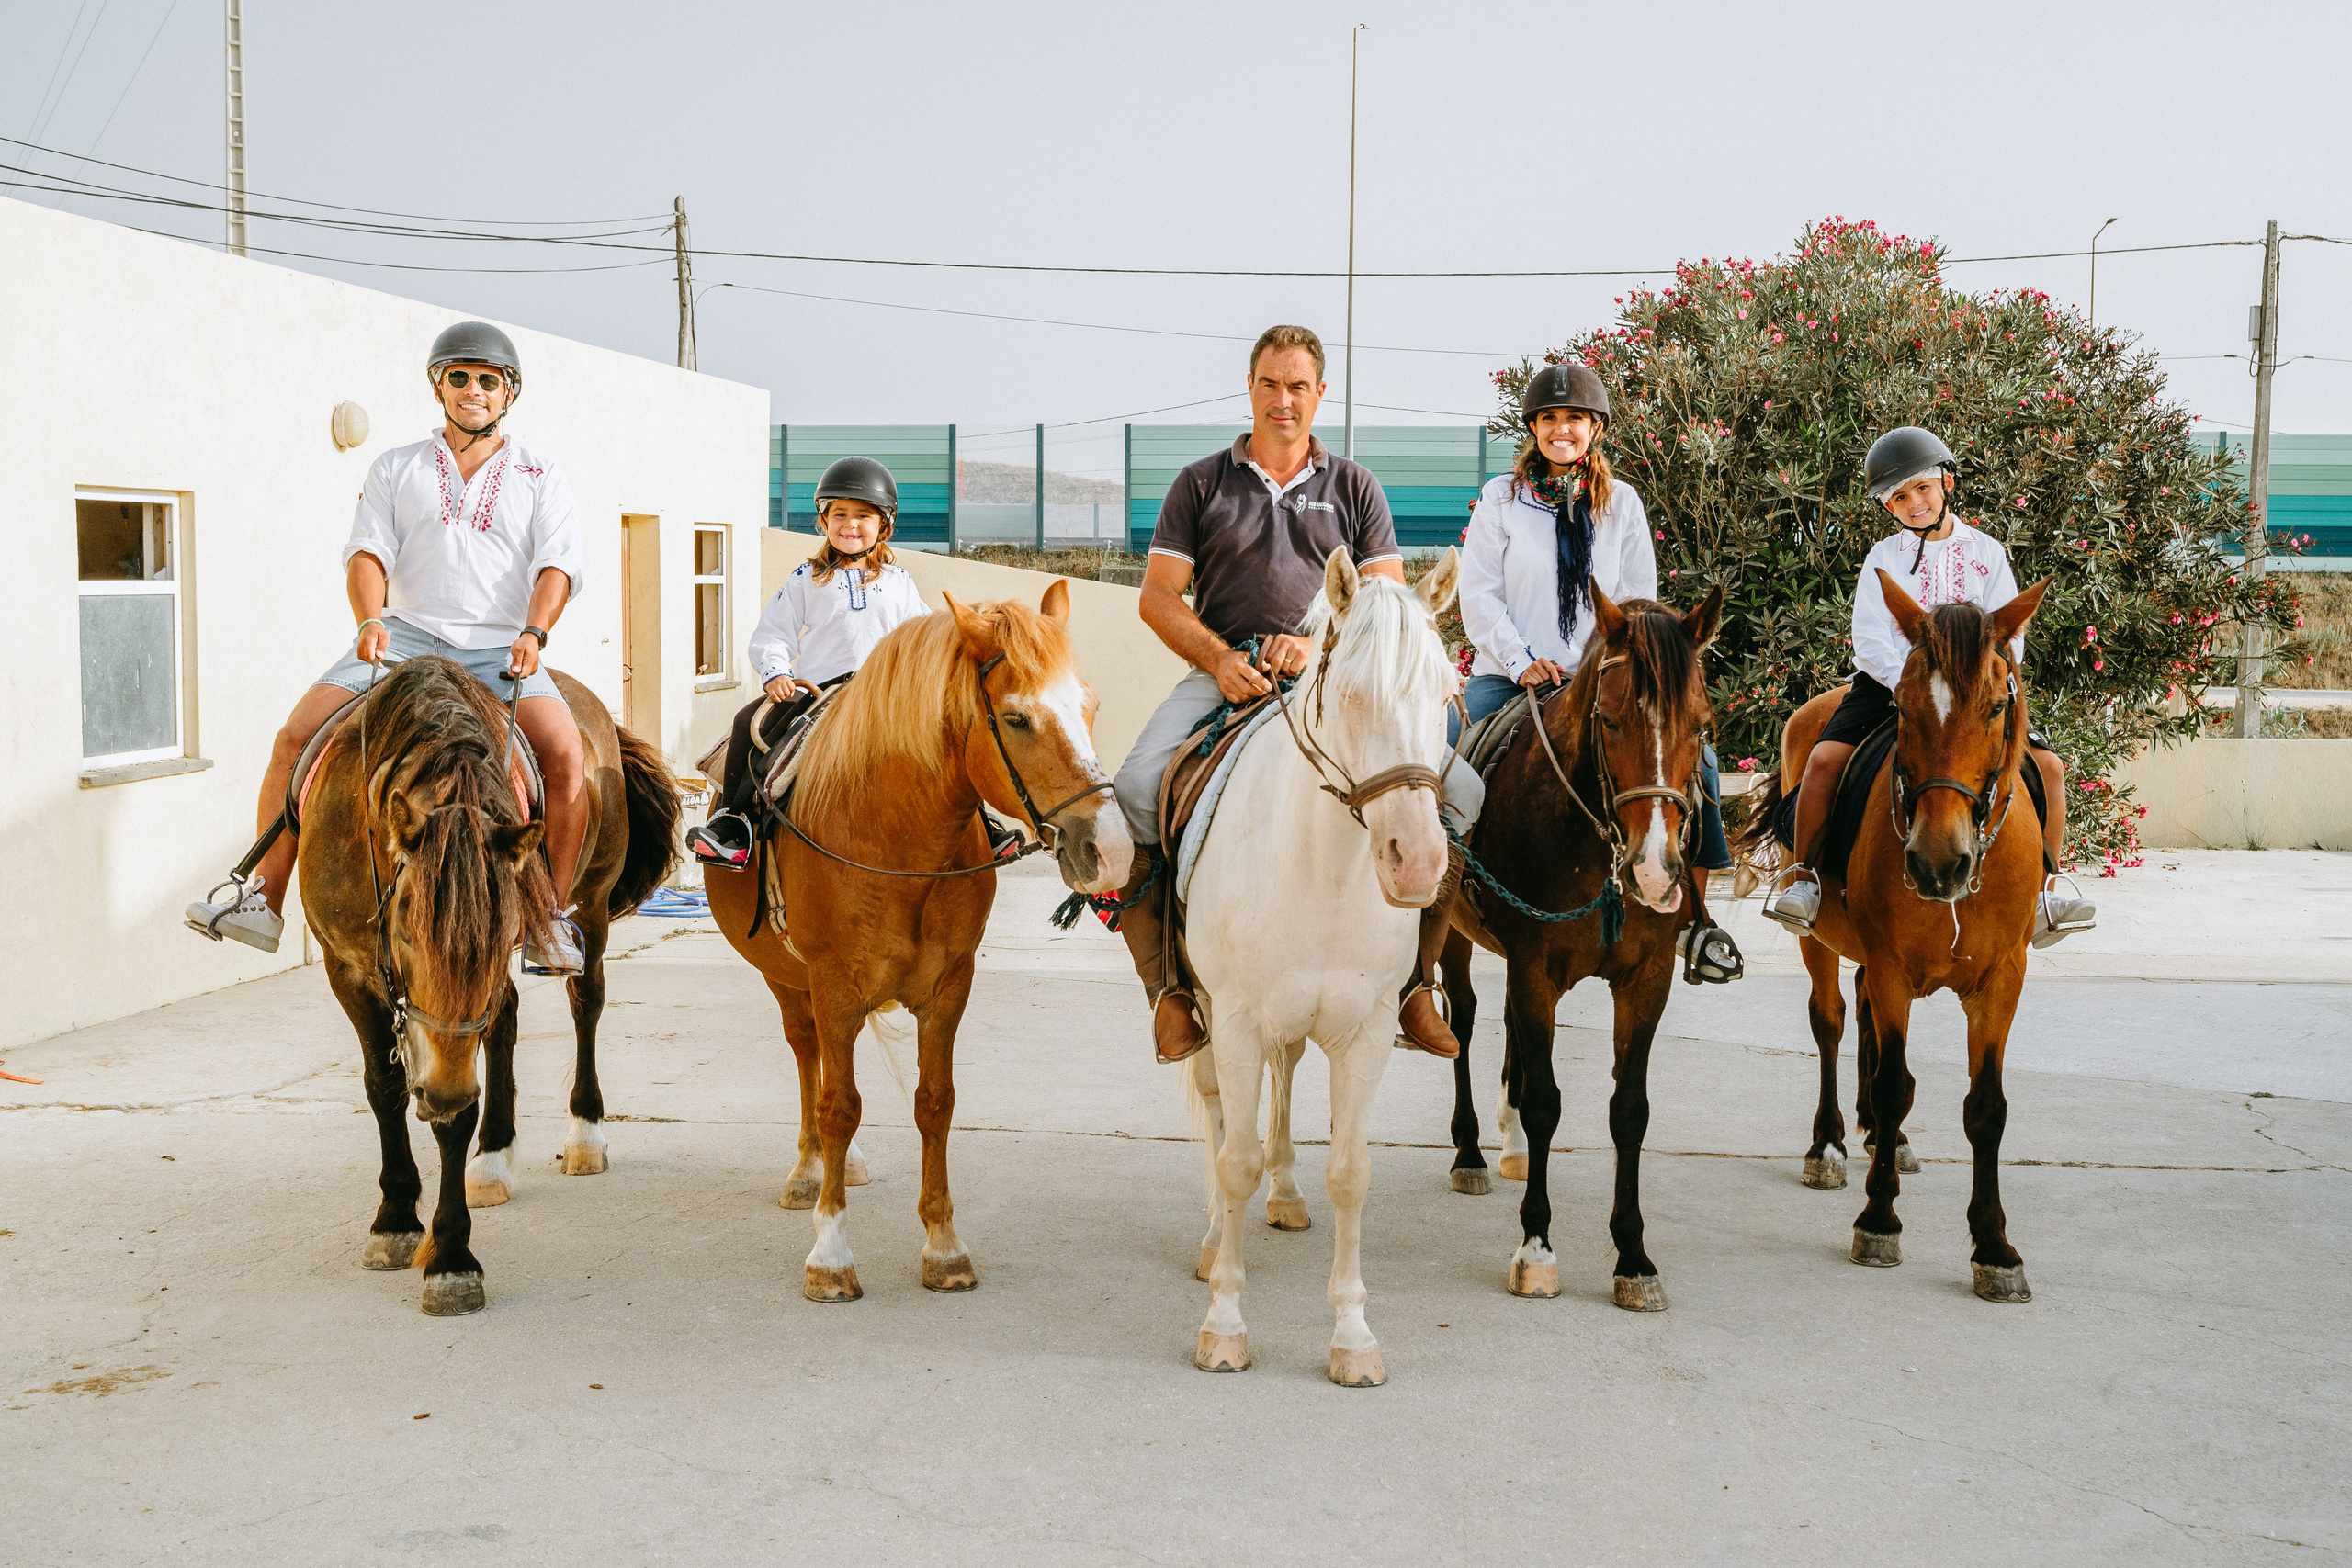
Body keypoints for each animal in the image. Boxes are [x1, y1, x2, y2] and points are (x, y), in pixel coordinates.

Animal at [300, 655, 680, 1316]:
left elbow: (456, 1109)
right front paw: (395, 1217)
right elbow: (385, 1086)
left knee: (586, 1003)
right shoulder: (345, 968)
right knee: (506, 1023)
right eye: (403, 929)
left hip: (592, 908)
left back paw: (584, 1134)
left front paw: (450, 1258)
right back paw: (494, 1156)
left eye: (501, 929)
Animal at [705, 580, 1131, 1303]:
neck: (893, 834)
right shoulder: (833, 984)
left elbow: (935, 1103)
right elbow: (839, 1105)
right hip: (787, 980)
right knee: (807, 1057)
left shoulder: (949, 987)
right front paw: (830, 1253)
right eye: (1016, 719)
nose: (1110, 849)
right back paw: (809, 1170)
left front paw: (943, 1245)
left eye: (1090, 705)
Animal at [1180, 547, 1461, 1387]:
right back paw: (1215, 1239)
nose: (1418, 862)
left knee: (1287, 1074)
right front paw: (1226, 1323)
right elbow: (1234, 1158)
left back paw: (1287, 1194)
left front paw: (1353, 1334)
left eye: (1448, 694)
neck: (1325, 870)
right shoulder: (1237, 1021)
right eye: (1355, 694)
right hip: (1205, 1014)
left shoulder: (1363, 1033)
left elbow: (1350, 1172)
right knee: (1218, 1113)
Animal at [1432, 583, 1724, 1311]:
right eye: (1611, 721)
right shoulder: (1535, 966)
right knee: (1467, 1019)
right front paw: (1536, 1247)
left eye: (1701, 724)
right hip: (1455, 935)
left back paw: (1506, 1146)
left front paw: (1634, 1257)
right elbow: (1546, 1102)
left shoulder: (1647, 978)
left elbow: (1630, 1111)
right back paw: (1471, 1153)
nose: (1655, 870)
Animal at [1735, 571, 2050, 1302]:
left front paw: (1994, 1247)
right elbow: (1891, 1082)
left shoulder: (2004, 978)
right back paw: (1830, 1143)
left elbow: (1985, 1106)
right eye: (1902, 707)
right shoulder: (1890, 965)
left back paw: (1889, 1141)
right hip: (1820, 940)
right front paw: (1878, 1219)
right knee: (1832, 1019)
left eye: (1998, 706)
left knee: (1864, 1019)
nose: (1938, 862)